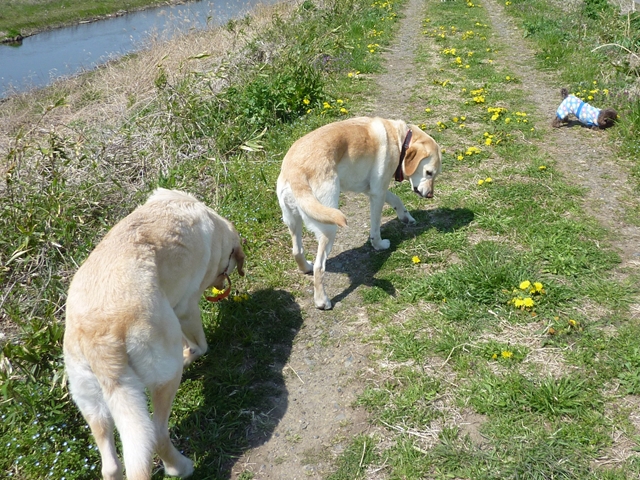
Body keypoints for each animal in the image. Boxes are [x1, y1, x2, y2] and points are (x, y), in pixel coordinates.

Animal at [64, 188, 245, 480]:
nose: (220, 282)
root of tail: (101, 344)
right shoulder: (185, 308)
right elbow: (200, 344)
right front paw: (192, 352)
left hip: (91, 403)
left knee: (110, 464)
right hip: (165, 376)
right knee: (157, 433)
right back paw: (180, 467)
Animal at [278, 118, 442, 310]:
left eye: (435, 175)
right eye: (428, 172)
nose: (430, 195)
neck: (400, 140)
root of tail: (295, 171)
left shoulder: (373, 189)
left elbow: (396, 199)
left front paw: (406, 216)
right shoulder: (377, 193)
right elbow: (376, 229)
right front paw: (379, 245)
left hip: (293, 221)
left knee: (297, 251)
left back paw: (305, 268)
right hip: (329, 227)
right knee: (320, 266)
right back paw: (322, 301)